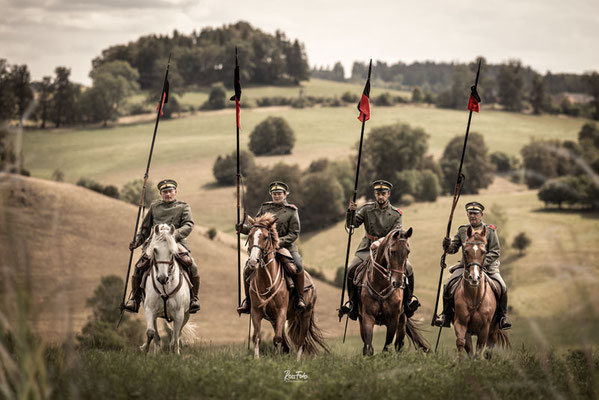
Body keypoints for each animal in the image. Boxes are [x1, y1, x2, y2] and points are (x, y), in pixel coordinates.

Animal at [245, 214, 328, 360]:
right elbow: (257, 337)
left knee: (301, 341)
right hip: (277, 319)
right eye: (250, 235)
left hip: (305, 315)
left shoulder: (281, 312)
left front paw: (276, 359)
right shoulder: (256, 312)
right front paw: (256, 359)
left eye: (265, 237)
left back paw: (297, 361)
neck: (267, 280)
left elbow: (277, 339)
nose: (253, 261)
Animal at [356, 228, 432, 356]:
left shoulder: (393, 319)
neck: (381, 285)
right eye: (392, 252)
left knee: (398, 345)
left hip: (402, 321)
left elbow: (387, 347)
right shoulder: (368, 317)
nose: (398, 283)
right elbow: (368, 346)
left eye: (408, 252)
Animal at [454, 227, 510, 358]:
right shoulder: (461, 323)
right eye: (465, 251)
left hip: (493, 331)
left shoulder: (484, 329)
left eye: (484, 252)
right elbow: (462, 344)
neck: (473, 297)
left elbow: (479, 351)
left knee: (489, 350)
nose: (474, 278)